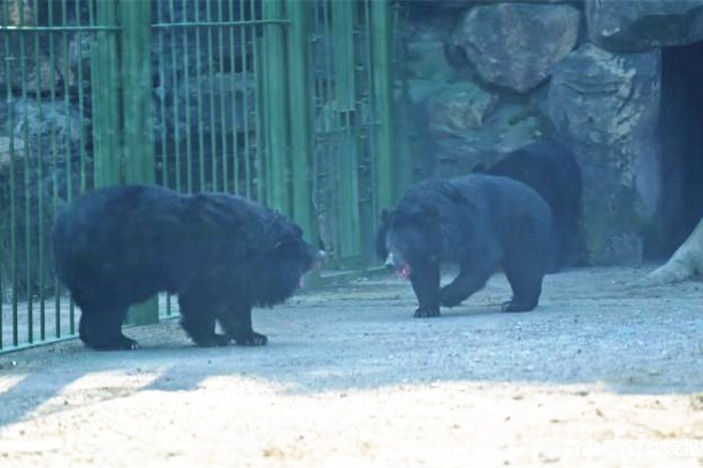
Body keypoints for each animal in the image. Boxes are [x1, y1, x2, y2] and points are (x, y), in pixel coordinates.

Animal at [53, 185, 324, 350]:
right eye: (300, 244)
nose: (322, 254)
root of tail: (61, 224)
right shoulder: (208, 265)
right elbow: (201, 303)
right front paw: (213, 338)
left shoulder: (234, 274)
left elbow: (234, 305)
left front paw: (253, 336)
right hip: (108, 268)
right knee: (107, 307)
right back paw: (120, 341)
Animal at [376, 175, 560, 318]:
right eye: (388, 246)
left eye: (403, 246)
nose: (390, 264)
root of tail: (543, 201)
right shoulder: (424, 251)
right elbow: (424, 275)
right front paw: (425, 310)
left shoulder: (474, 225)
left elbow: (479, 262)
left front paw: (443, 295)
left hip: (524, 229)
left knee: (524, 265)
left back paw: (515, 305)